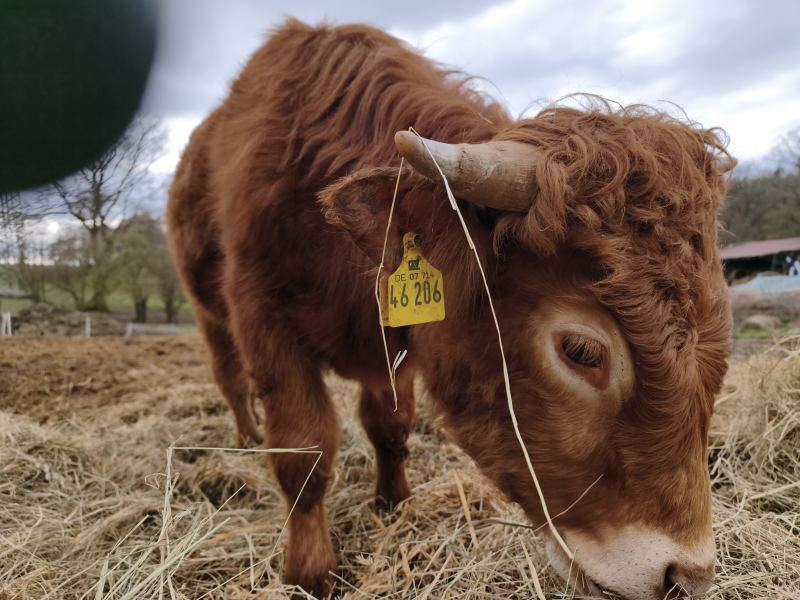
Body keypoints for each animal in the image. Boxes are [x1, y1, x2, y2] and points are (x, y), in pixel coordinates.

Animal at [167, 19, 734, 599]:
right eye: (579, 350)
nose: (686, 576)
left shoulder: (398, 339)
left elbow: (391, 426)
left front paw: (393, 502)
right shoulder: (265, 323)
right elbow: (304, 452)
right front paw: (309, 572)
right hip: (211, 314)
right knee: (230, 379)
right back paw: (246, 436)